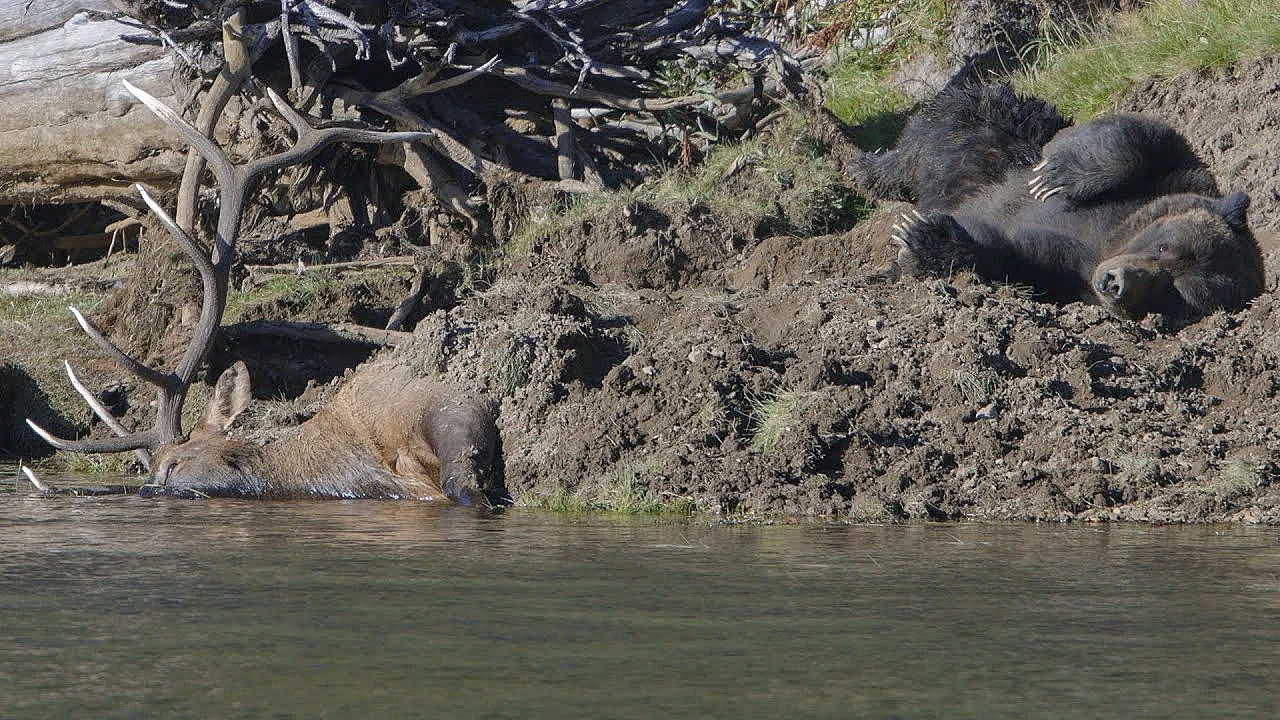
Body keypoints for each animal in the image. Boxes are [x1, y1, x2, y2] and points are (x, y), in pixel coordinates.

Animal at [848, 82, 1265, 322]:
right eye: (1165, 246)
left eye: (1177, 294)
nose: (1115, 283)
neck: (1108, 241)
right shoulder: (1180, 180)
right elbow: (1147, 137)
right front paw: (1056, 175)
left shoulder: (1067, 276)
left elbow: (1012, 261)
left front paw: (923, 238)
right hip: (989, 128)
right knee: (932, 134)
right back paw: (863, 167)